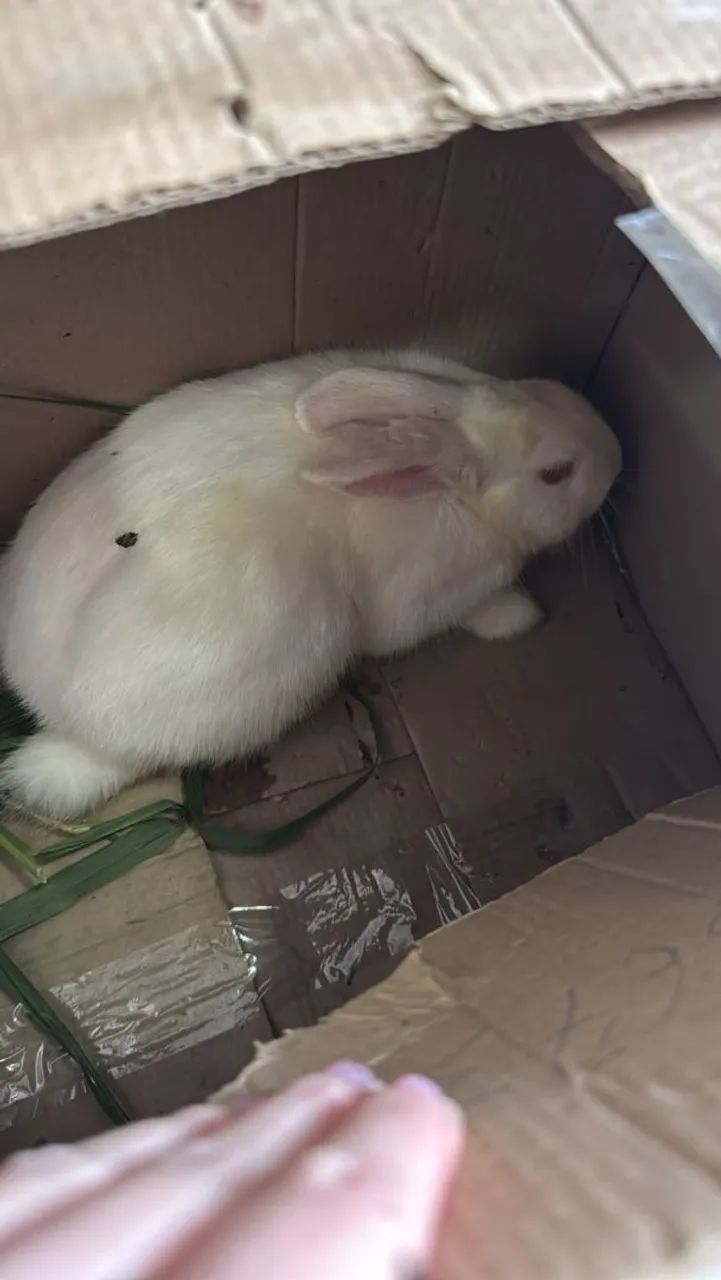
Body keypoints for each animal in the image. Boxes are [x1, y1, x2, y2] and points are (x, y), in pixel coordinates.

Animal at [0, 349, 621, 821]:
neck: (460, 498)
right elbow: (478, 611)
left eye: (545, 388)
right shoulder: (436, 600)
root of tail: (56, 714)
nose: (617, 451)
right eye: (556, 473)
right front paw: (522, 615)